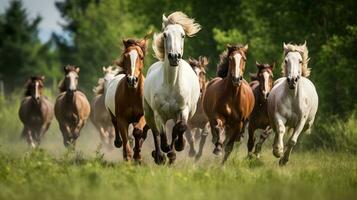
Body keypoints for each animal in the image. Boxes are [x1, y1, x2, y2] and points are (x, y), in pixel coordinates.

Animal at [105, 34, 150, 162]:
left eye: (141, 57)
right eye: (125, 56)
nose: (132, 80)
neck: (133, 95)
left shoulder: (143, 116)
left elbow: (138, 132)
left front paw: (137, 156)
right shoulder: (122, 119)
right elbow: (125, 137)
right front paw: (128, 157)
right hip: (112, 114)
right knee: (115, 124)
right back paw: (118, 143)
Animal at [143, 11, 202, 164]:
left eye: (182, 35)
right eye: (165, 35)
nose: (174, 56)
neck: (171, 84)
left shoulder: (183, 110)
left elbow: (181, 127)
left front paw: (180, 145)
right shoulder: (158, 114)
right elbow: (162, 136)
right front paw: (165, 152)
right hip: (148, 113)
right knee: (155, 133)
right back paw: (159, 156)